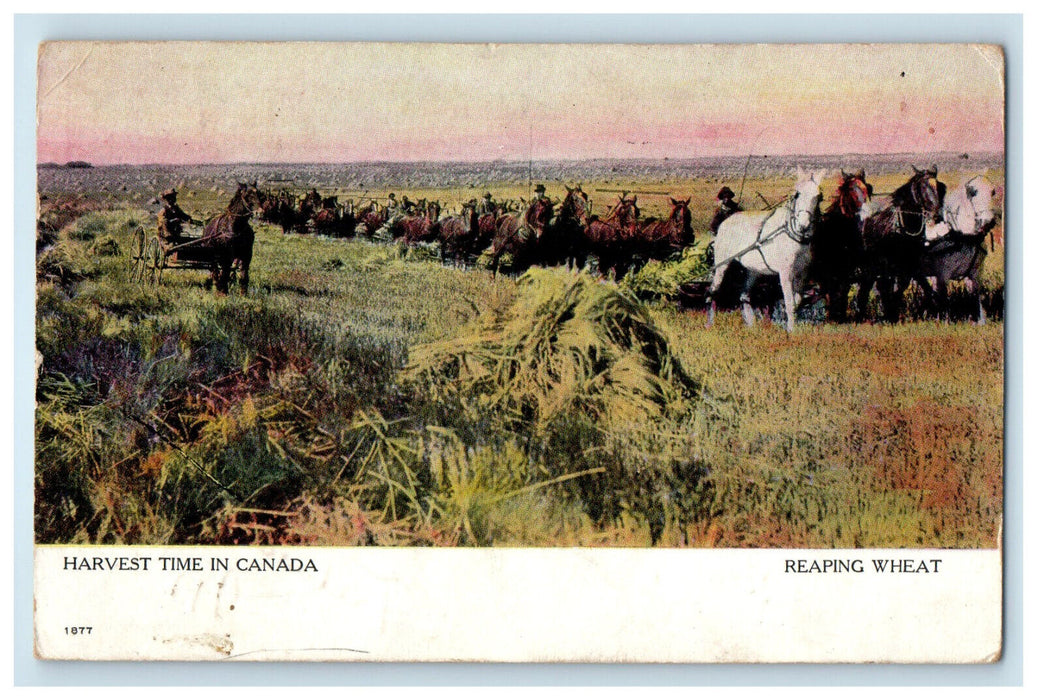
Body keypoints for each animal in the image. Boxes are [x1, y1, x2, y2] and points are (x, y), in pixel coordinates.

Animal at [705, 170, 826, 334]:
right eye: (797, 194)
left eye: (819, 196)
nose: (804, 225)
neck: (790, 233)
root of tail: (724, 223)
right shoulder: (785, 273)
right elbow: (789, 302)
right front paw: (791, 330)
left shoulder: (803, 274)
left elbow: (797, 301)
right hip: (721, 265)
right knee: (713, 292)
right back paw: (710, 323)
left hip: (753, 270)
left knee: (744, 295)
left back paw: (751, 325)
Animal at [805, 170, 872, 323]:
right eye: (850, 191)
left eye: (868, 189)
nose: (867, 214)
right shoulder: (828, 274)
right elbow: (832, 296)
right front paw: (832, 319)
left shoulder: (844, 274)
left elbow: (842, 295)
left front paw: (840, 317)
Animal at [851, 167, 952, 323]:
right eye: (923, 187)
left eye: (941, 187)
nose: (937, 215)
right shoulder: (888, 262)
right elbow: (888, 287)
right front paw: (889, 312)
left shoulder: (909, 261)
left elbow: (907, 284)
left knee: (867, 285)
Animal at [914, 175, 1002, 323]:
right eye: (973, 192)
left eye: (993, 191)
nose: (988, 222)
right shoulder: (943, 274)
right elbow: (943, 296)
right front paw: (944, 321)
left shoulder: (975, 272)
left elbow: (976, 294)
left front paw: (980, 320)